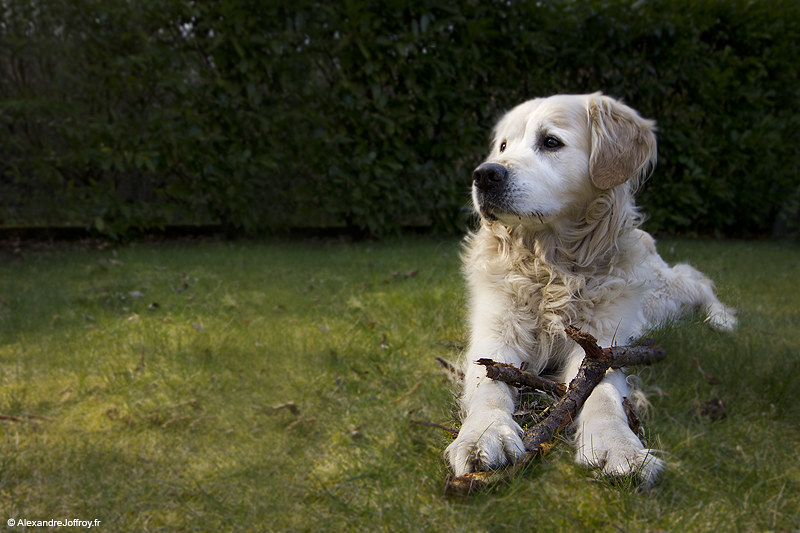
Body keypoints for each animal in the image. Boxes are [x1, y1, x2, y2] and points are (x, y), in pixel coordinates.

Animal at [444, 93, 736, 484]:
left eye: (551, 142)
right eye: (503, 145)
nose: (484, 174)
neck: (550, 268)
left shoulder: (600, 345)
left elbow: (602, 392)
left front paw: (618, 445)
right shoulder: (496, 332)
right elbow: (488, 384)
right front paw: (484, 433)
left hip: (663, 293)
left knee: (698, 281)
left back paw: (721, 318)